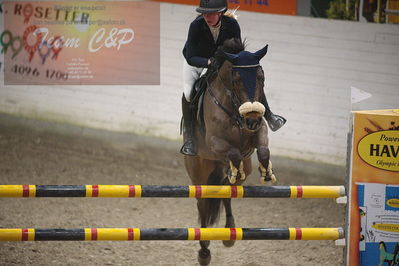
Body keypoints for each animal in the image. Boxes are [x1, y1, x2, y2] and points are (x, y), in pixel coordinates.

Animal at [186, 38, 276, 266]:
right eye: (236, 80)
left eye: (261, 77)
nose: (251, 119)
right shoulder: (214, 141)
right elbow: (233, 153)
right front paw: (235, 166)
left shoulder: (259, 130)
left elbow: (263, 149)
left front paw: (266, 172)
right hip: (199, 174)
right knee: (203, 204)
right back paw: (204, 252)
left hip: (243, 171)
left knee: (228, 192)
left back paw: (229, 233)